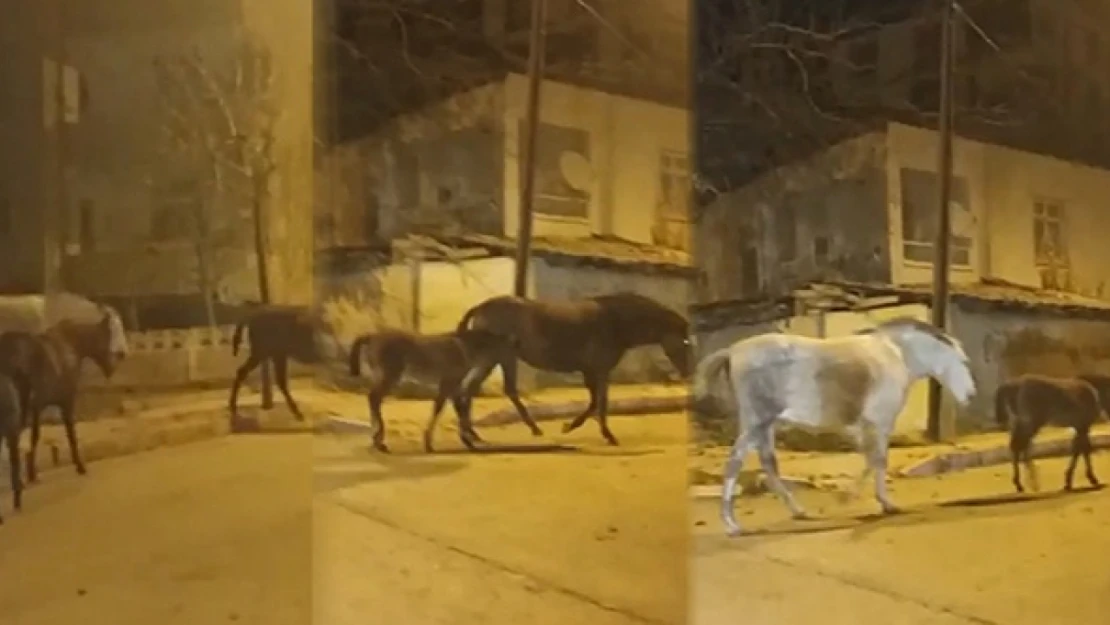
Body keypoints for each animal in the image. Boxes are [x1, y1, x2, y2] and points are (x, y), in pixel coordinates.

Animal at [0, 313, 123, 484]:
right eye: (108, 336)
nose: (113, 367)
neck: (71, 347)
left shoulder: (37, 407)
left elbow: (33, 436)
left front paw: (31, 472)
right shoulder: (63, 402)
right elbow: (69, 434)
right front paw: (79, 466)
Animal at [348, 328, 517, 455]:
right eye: (508, 350)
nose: (512, 368)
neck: (464, 347)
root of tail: (371, 336)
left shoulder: (451, 387)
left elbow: (455, 410)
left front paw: (468, 440)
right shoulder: (449, 384)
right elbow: (444, 409)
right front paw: (430, 443)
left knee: (373, 400)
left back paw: (376, 440)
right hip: (390, 377)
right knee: (374, 399)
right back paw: (379, 440)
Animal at [455, 293, 688, 444]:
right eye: (685, 341)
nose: (687, 373)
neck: (616, 321)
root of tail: (481, 307)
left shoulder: (590, 371)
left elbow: (594, 402)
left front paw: (570, 426)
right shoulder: (600, 370)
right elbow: (601, 403)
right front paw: (608, 436)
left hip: (496, 359)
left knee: (475, 389)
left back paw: (474, 434)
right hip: (500, 357)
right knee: (496, 389)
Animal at [697, 319, 976, 535]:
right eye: (962, 361)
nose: (971, 396)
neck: (897, 354)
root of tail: (733, 351)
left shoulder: (864, 426)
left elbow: (871, 459)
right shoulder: (879, 422)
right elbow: (878, 460)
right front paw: (875, 502)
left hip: (765, 425)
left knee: (768, 464)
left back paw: (797, 511)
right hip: (757, 421)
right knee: (735, 462)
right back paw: (731, 524)